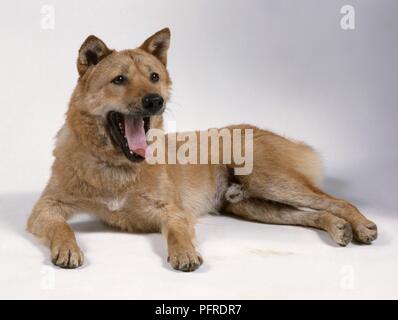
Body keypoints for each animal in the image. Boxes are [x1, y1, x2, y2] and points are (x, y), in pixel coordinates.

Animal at [27, 28, 376, 272]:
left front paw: (184, 252)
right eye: (119, 79)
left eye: (154, 76)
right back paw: (338, 227)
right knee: (312, 213)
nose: (155, 100)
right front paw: (68, 247)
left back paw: (361, 224)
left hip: (271, 181)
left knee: (336, 200)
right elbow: (62, 227)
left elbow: (177, 232)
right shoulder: (45, 208)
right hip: (252, 206)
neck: (116, 166)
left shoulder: (173, 211)